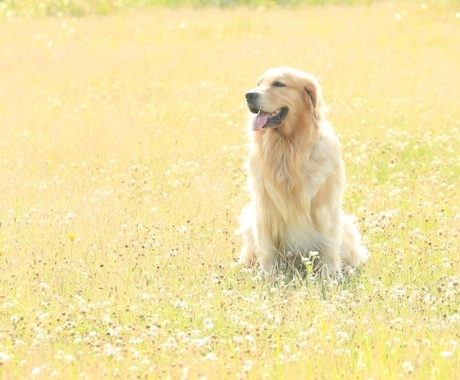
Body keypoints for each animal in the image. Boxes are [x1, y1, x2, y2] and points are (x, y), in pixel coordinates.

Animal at [239, 67, 368, 278]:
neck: (288, 148)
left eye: (279, 84)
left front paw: (329, 277)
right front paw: (268, 276)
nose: (249, 95)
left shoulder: (326, 209)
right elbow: (266, 249)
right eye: (258, 84)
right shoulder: (264, 209)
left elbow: (329, 247)